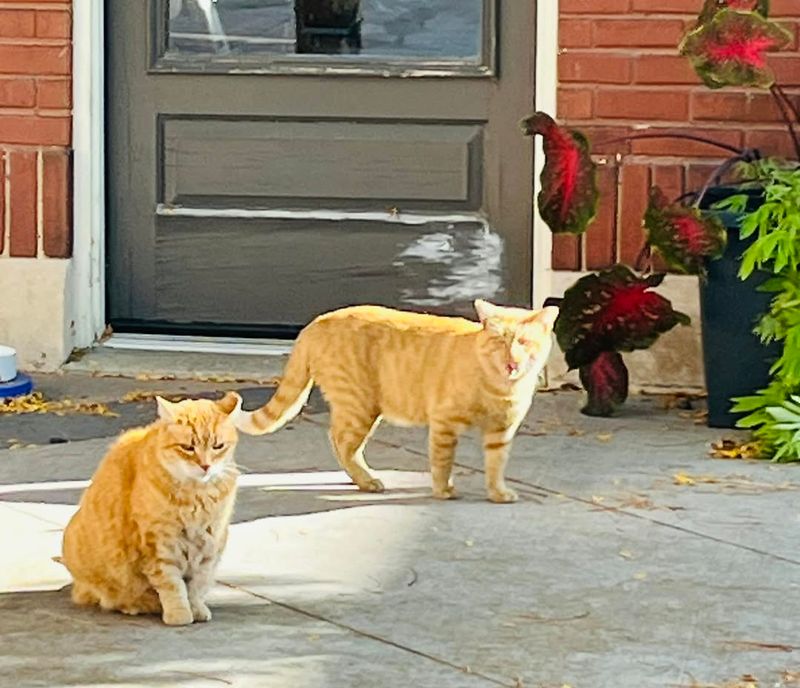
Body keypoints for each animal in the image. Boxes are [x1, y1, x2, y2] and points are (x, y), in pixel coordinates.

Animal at [60, 392, 241, 624]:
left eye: (218, 446)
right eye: (187, 447)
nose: (206, 466)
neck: (196, 496)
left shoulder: (210, 542)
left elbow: (196, 584)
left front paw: (196, 608)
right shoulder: (159, 545)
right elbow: (172, 585)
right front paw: (179, 614)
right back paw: (134, 605)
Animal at [239, 300, 556, 506]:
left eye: (524, 342)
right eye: (501, 342)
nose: (512, 361)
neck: (500, 387)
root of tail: (314, 322)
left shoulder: (500, 433)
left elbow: (496, 465)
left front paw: (497, 493)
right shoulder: (444, 423)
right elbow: (442, 462)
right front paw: (443, 490)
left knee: (340, 443)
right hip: (360, 407)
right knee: (341, 442)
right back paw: (367, 481)